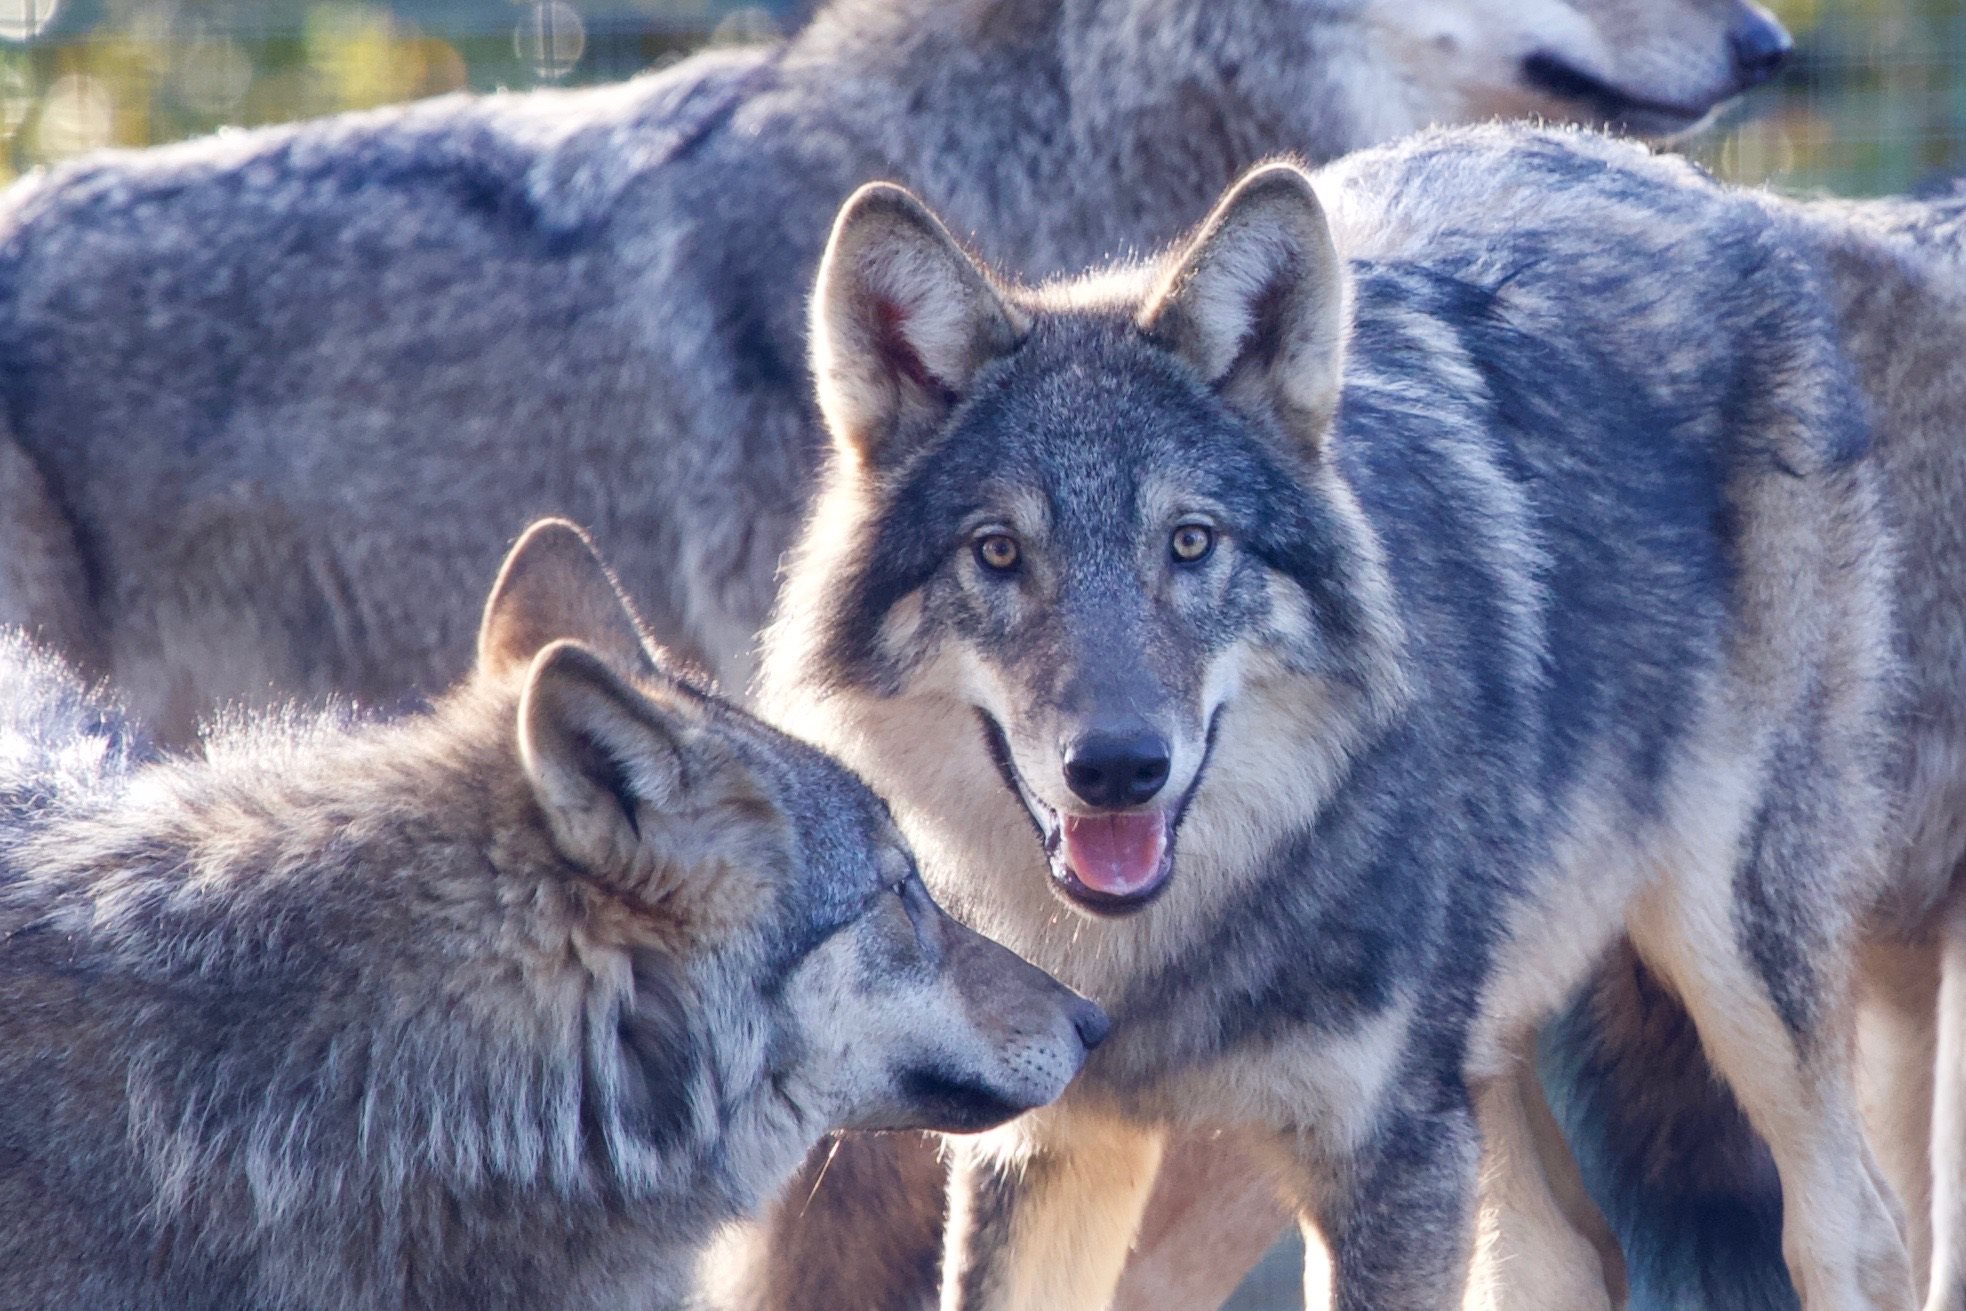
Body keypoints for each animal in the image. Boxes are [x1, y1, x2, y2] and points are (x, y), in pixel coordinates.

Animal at [762, 125, 1918, 1311]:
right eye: (998, 553)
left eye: (1191, 542)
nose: (1119, 768)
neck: (1158, 957)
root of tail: (1680, 175)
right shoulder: (1052, 1143)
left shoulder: (1388, 1155)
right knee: (1564, 1259)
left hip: (1729, 957)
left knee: (1854, 1231)